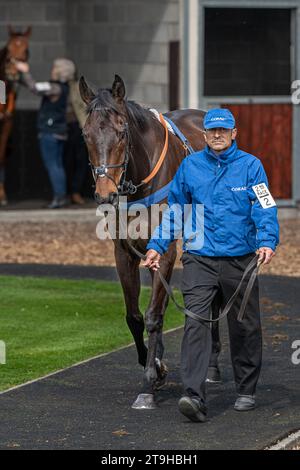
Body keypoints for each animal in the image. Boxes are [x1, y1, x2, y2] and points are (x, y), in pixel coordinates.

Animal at [79, 75, 220, 410]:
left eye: (121, 131)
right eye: (86, 134)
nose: (105, 193)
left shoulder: (166, 252)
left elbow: (155, 315)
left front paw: (148, 384)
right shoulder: (124, 252)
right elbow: (134, 316)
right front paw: (155, 365)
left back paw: (213, 367)